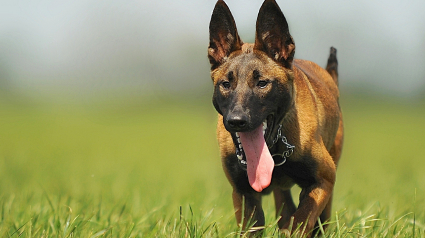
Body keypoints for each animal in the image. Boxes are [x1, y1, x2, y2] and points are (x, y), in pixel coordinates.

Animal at [207, 0, 342, 235]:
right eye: (226, 84)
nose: (236, 121)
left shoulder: (323, 180)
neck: (274, 146)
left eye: (262, 83)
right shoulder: (244, 193)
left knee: (319, 220)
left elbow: (302, 219)